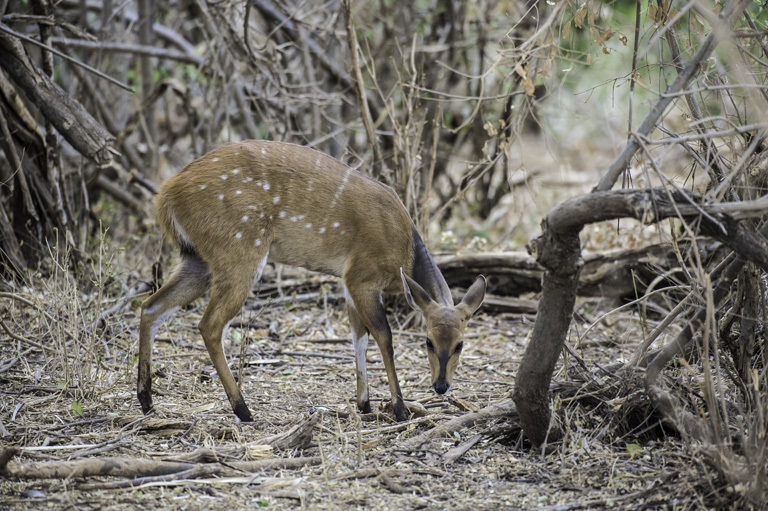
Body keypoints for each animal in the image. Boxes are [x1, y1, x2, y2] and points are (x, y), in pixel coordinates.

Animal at [136, 139, 486, 420]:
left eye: (461, 343)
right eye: (427, 341)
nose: (441, 386)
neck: (405, 248)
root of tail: (166, 194)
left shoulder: (348, 283)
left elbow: (358, 336)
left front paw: (364, 405)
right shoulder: (362, 278)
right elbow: (384, 336)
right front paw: (399, 409)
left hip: (197, 260)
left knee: (150, 306)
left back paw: (146, 400)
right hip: (241, 254)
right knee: (209, 324)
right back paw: (243, 409)